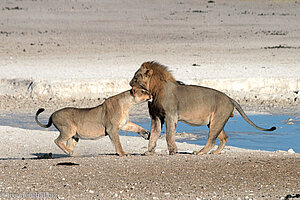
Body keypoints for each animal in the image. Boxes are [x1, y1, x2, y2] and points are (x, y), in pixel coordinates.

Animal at [130, 61, 276, 155]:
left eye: (136, 77)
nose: (130, 83)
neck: (154, 90)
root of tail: (230, 98)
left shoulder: (171, 115)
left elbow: (169, 135)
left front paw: (172, 151)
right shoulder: (156, 117)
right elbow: (154, 135)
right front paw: (149, 152)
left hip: (217, 120)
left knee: (212, 140)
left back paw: (199, 152)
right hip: (214, 122)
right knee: (224, 137)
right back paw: (215, 153)